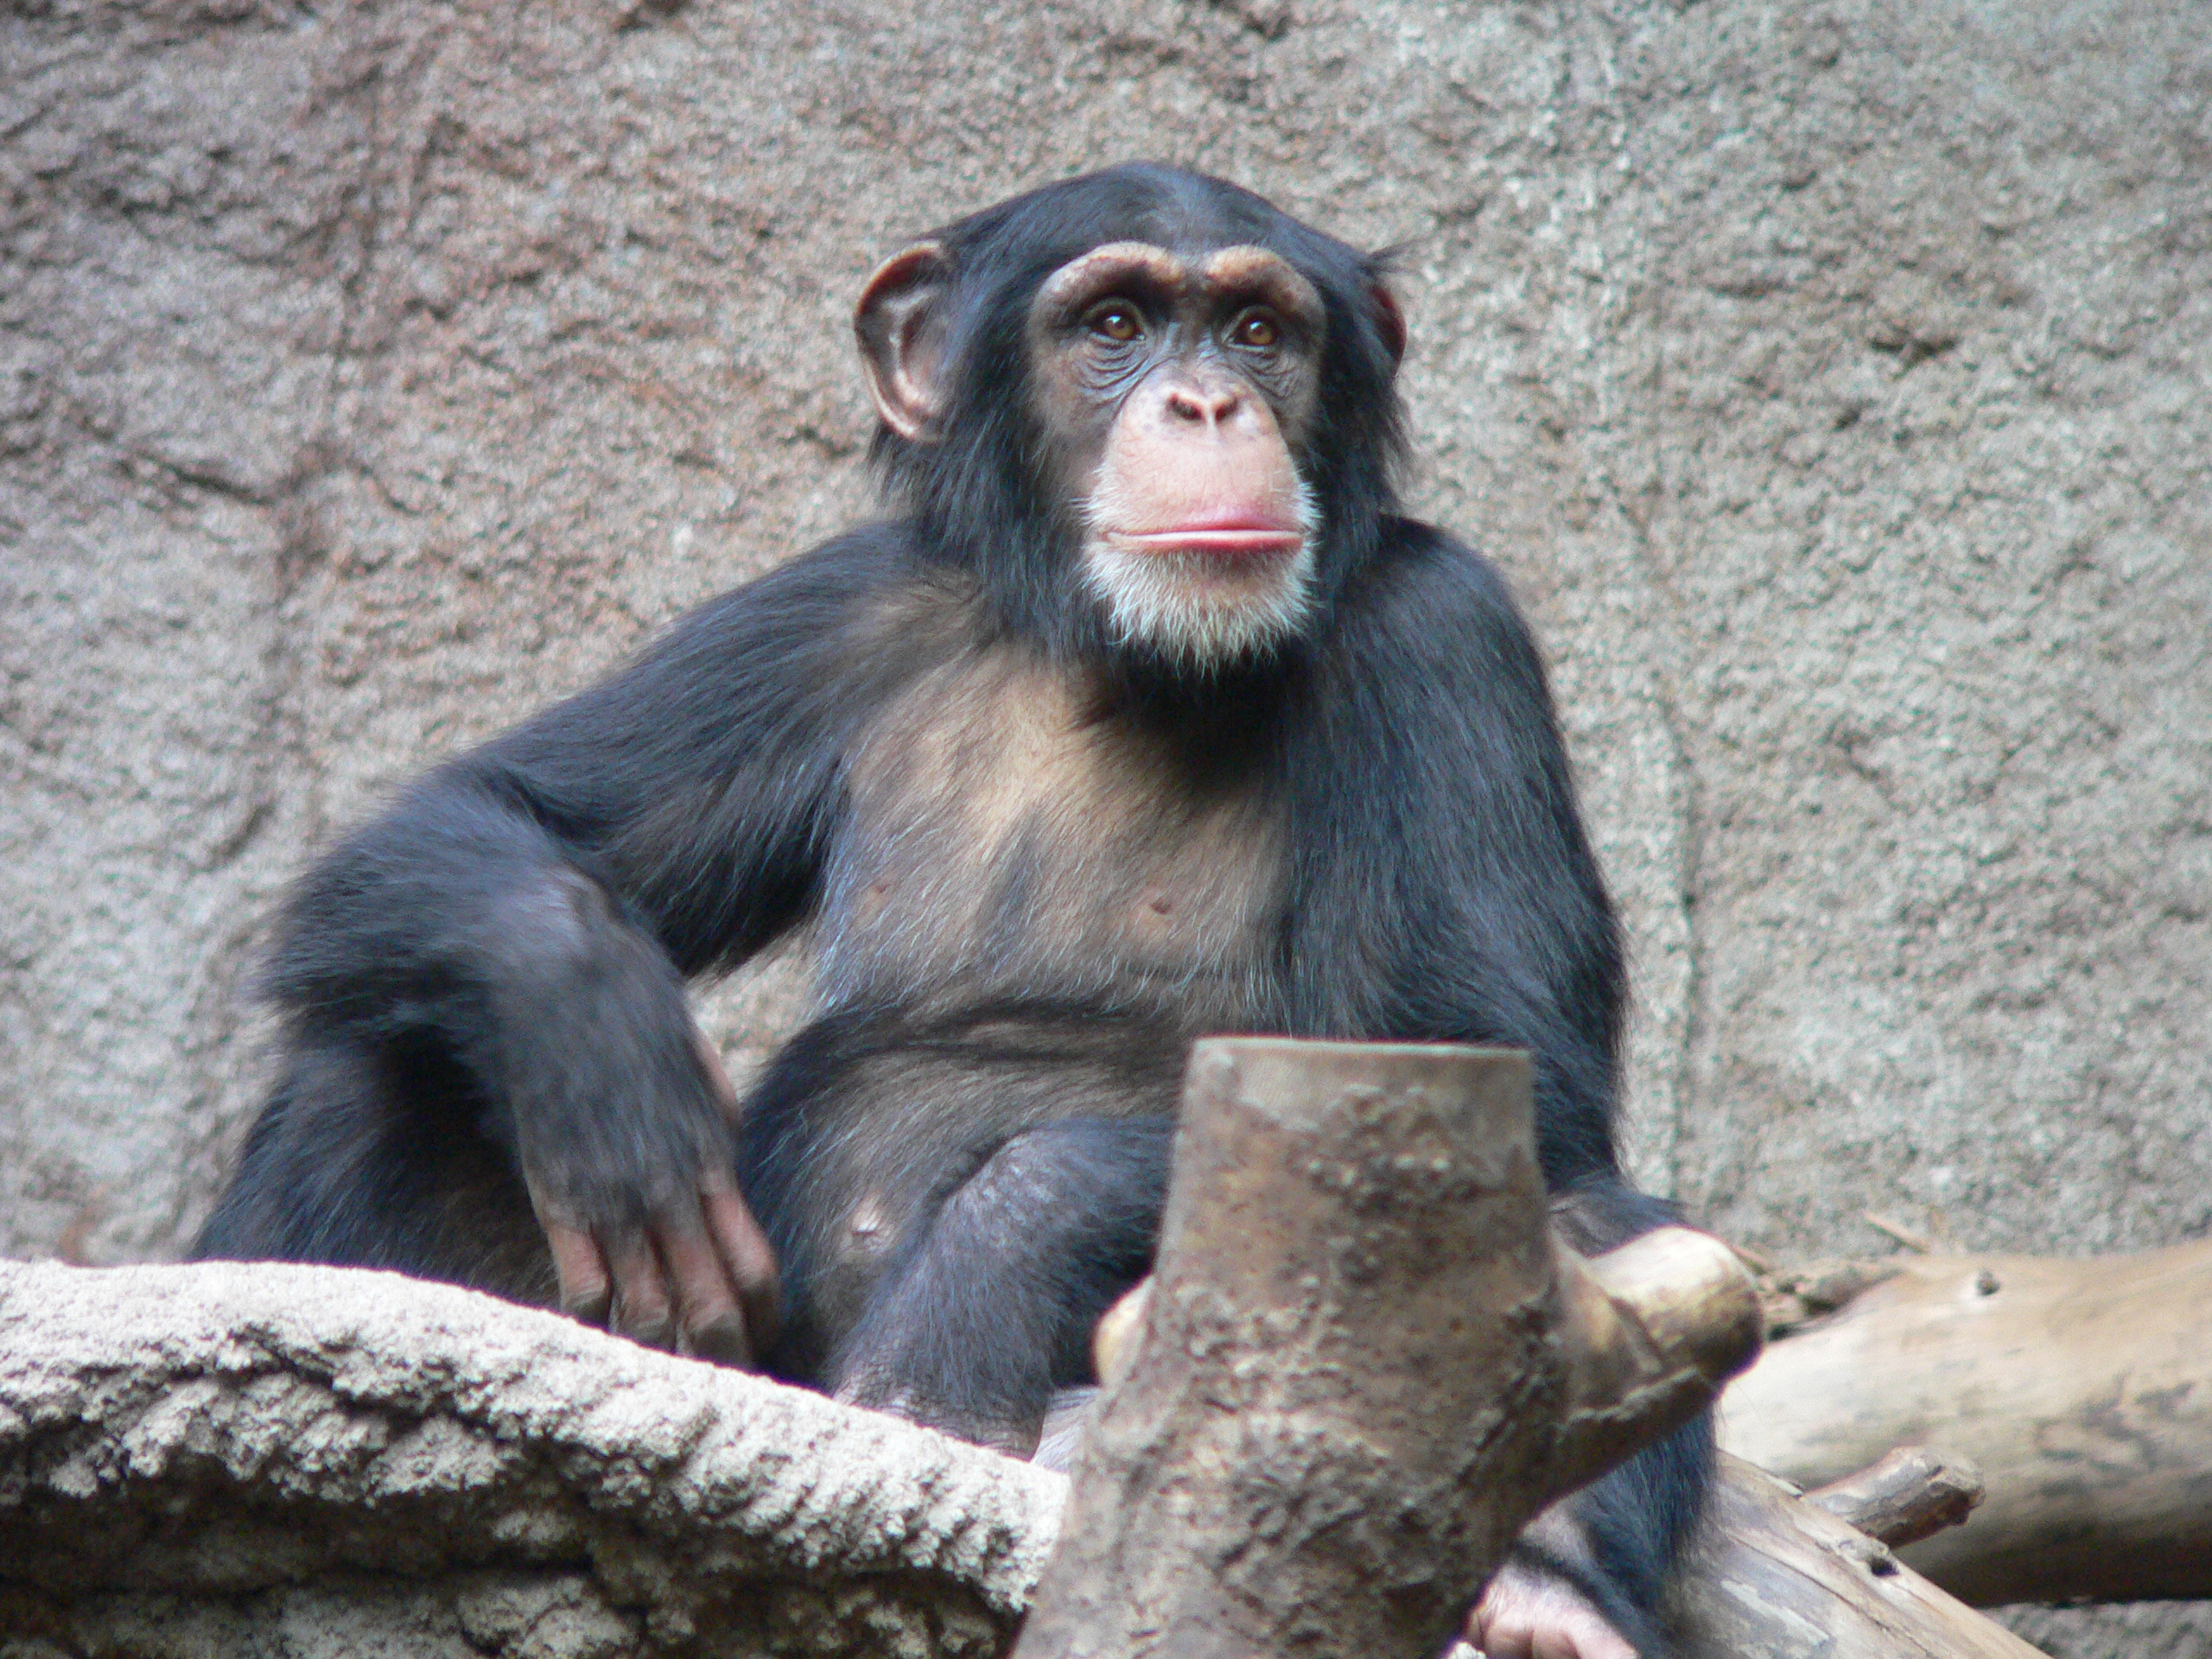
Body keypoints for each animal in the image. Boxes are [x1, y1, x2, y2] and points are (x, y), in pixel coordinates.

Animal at [195, 163, 1709, 1658]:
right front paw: (598, 1040)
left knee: (1592, 1223)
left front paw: (991, 1266)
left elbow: (1512, 1080)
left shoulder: (1451, 635)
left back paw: (1543, 1593)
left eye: (1259, 331)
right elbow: (498, 816)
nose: (1207, 404)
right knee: (371, 1073)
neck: (1124, 657)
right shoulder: (835, 610)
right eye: (1113, 325)